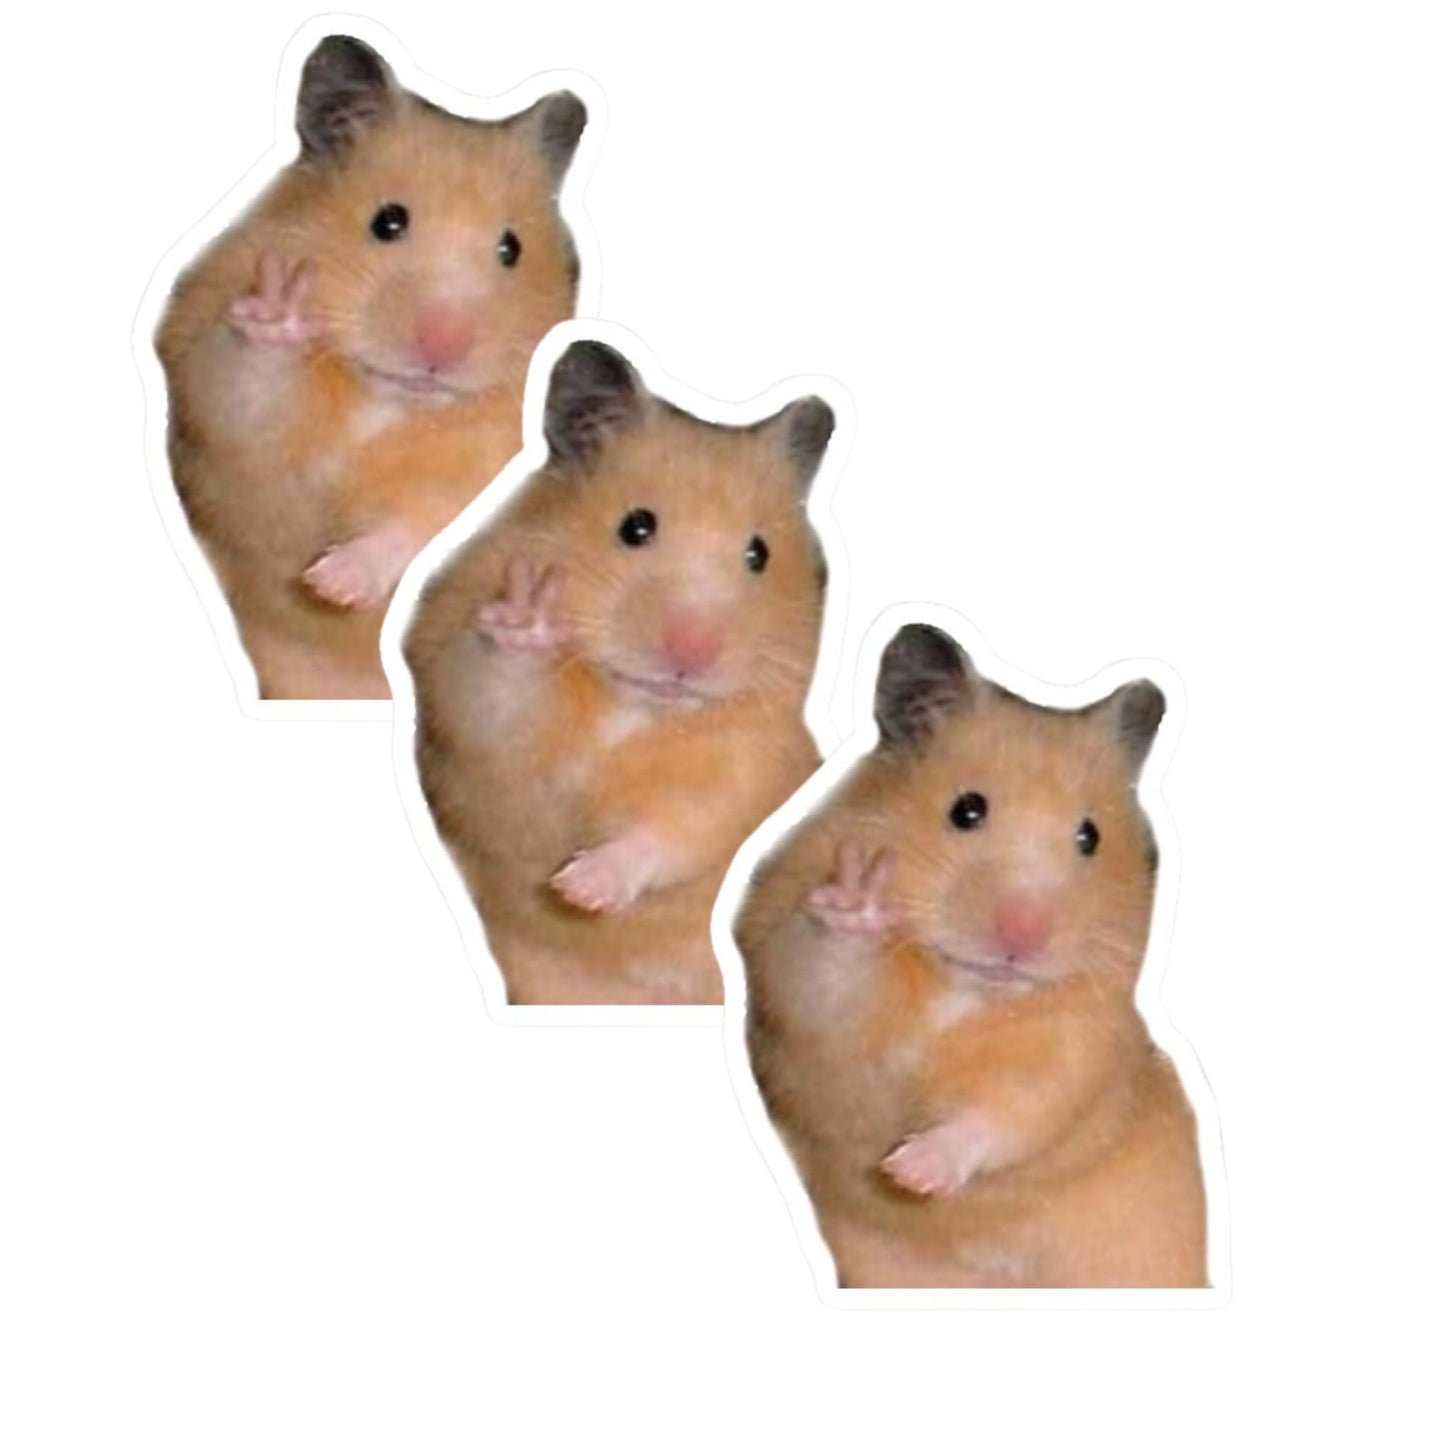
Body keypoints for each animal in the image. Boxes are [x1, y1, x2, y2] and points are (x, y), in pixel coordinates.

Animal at [156, 36, 587, 699]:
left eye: (510, 249)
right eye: (387, 221)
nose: (442, 349)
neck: (388, 399)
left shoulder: (478, 467)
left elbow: (418, 522)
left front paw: (333, 584)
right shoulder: (214, 391)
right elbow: (251, 384)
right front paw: (282, 308)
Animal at [404, 340, 834, 1004]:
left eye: (758, 554)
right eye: (635, 526)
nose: (691, 654)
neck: (633, 704)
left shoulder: (743, 767)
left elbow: (672, 830)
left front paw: (580, 888)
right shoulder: (460, 693)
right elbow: (495, 690)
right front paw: (528, 618)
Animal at [736, 625, 1206, 1287]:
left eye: (1089, 837)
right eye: (966, 810)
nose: (1021, 939)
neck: (962, 988)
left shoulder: (1076, 1048)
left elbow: (1006, 1113)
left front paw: (910, 1173)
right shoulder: (789, 978)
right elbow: (827, 977)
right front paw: (859, 898)